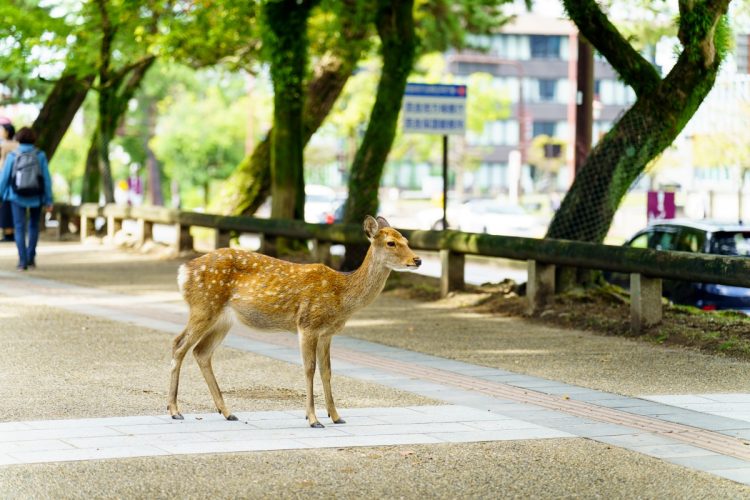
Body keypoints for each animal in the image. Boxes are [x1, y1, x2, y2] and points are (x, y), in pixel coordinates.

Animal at [167, 215, 421, 427]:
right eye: (391, 243)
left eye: (407, 239)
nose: (417, 259)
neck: (342, 296)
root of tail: (183, 271)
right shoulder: (308, 324)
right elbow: (309, 369)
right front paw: (313, 419)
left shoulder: (327, 333)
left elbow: (327, 371)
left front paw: (336, 416)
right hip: (203, 307)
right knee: (179, 344)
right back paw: (174, 410)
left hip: (223, 320)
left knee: (201, 351)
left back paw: (227, 412)